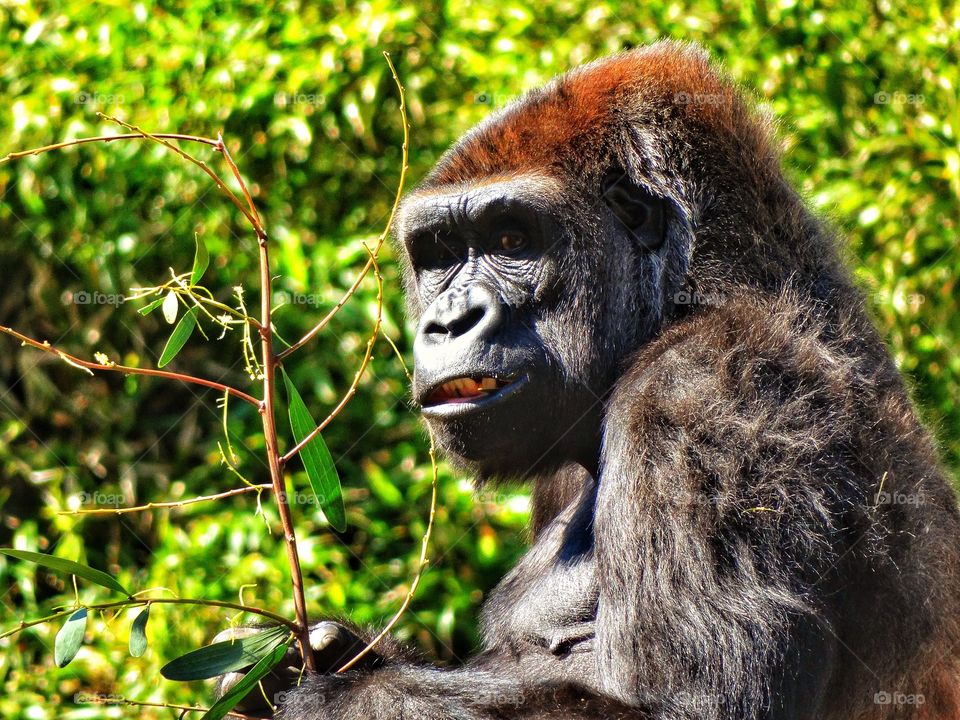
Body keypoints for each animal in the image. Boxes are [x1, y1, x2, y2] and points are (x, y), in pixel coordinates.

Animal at [218, 40, 960, 719]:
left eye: (511, 240)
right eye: (438, 254)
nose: (448, 322)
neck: (706, 288)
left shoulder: (707, 390)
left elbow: (693, 708)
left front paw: (334, 693)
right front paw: (321, 655)